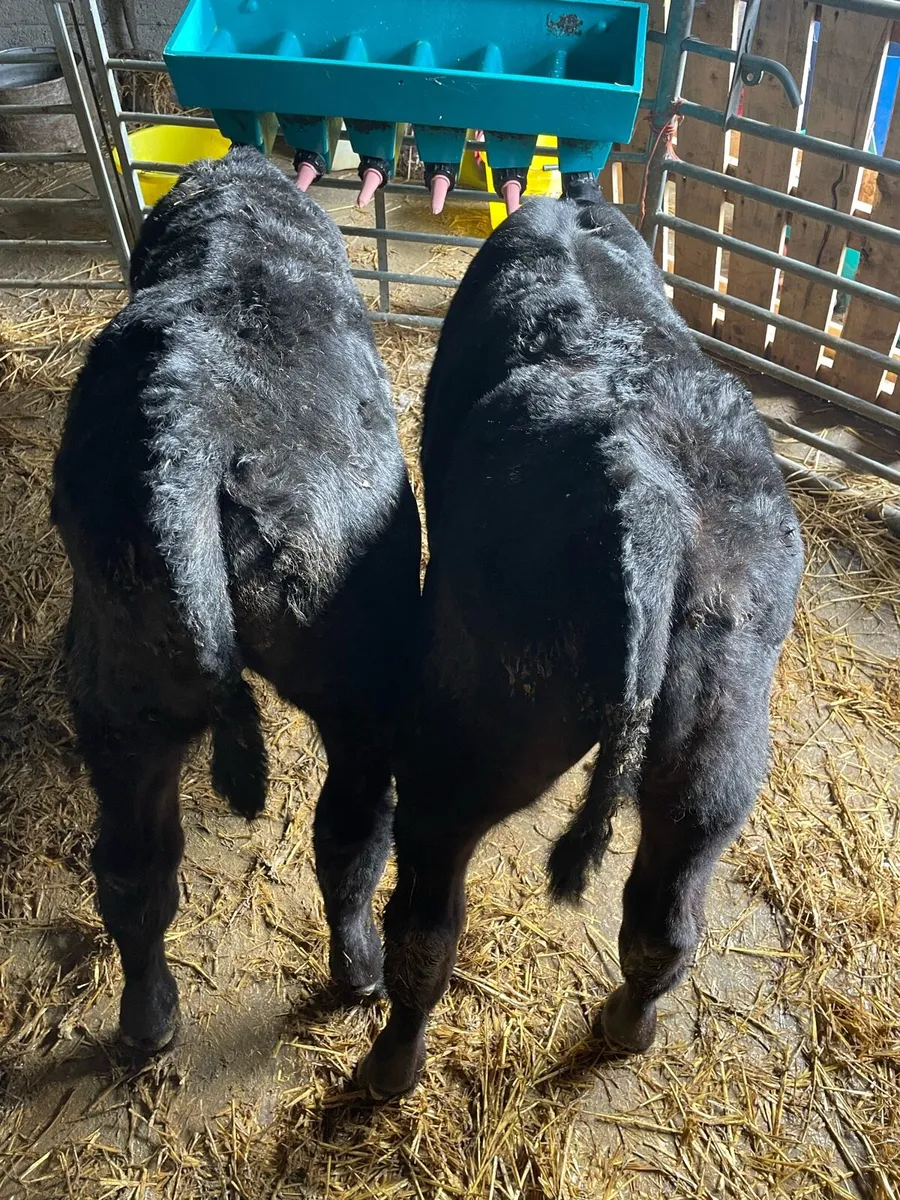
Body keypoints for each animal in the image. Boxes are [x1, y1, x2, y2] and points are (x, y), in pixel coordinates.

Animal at [52, 146, 421, 1054]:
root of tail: (190, 432)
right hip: (362, 675)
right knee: (355, 833)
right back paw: (360, 972)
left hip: (124, 680)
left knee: (133, 869)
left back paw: (150, 1021)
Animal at [357, 193, 803, 1097]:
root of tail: (647, 497)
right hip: (721, 741)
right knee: (667, 917)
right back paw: (629, 1025)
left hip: (473, 732)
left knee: (426, 922)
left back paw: (392, 1064)